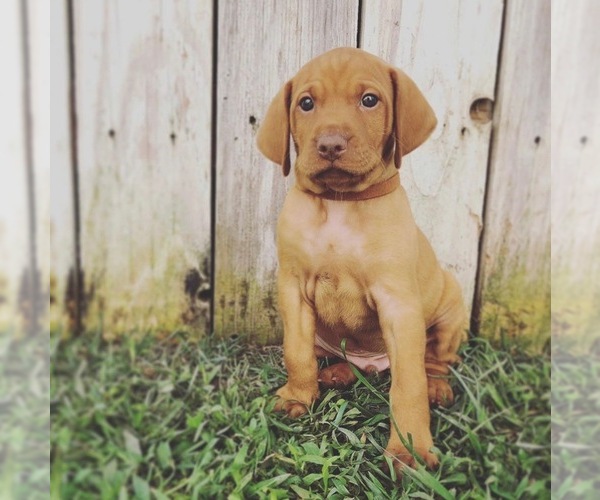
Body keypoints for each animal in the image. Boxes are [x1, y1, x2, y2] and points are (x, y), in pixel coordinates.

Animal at [255, 47, 466, 472]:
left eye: (370, 100)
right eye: (306, 103)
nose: (330, 145)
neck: (340, 204)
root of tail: (374, 363)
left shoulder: (398, 305)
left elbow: (409, 385)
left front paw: (409, 451)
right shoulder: (292, 291)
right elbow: (296, 353)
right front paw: (297, 396)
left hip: (450, 308)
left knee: (435, 359)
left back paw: (436, 386)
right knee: (339, 359)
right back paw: (336, 373)